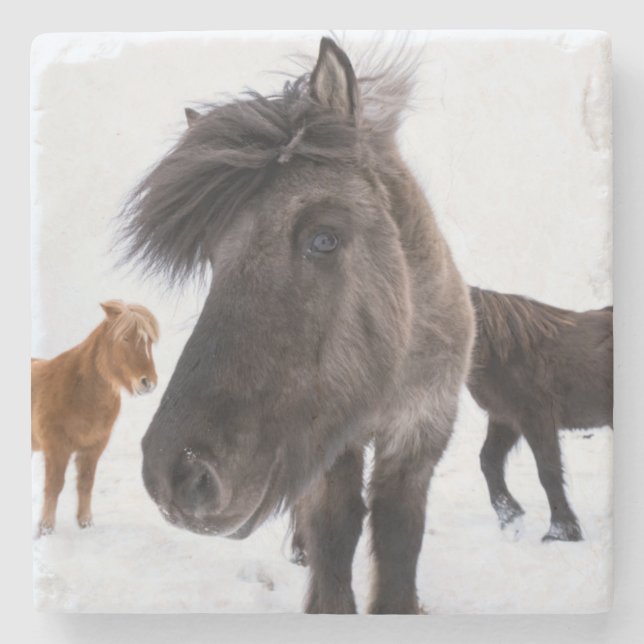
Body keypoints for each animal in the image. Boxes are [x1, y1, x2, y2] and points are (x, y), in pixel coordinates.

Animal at [31, 300, 159, 537]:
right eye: (125, 338)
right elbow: (54, 486)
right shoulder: (56, 449)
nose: (148, 383)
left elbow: (85, 483)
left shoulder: (92, 448)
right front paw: (46, 528)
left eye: (148, 341)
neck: (80, 392)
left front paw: (85, 523)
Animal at [120, 37, 474, 614]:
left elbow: (398, 535)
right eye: (215, 257)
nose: (175, 474)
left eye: (324, 238)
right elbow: (335, 530)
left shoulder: (418, 436)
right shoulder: (329, 443)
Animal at [467, 287, 613, 542]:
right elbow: (489, 460)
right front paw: (511, 517)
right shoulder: (506, 419)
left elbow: (548, 471)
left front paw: (561, 531)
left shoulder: (537, 417)